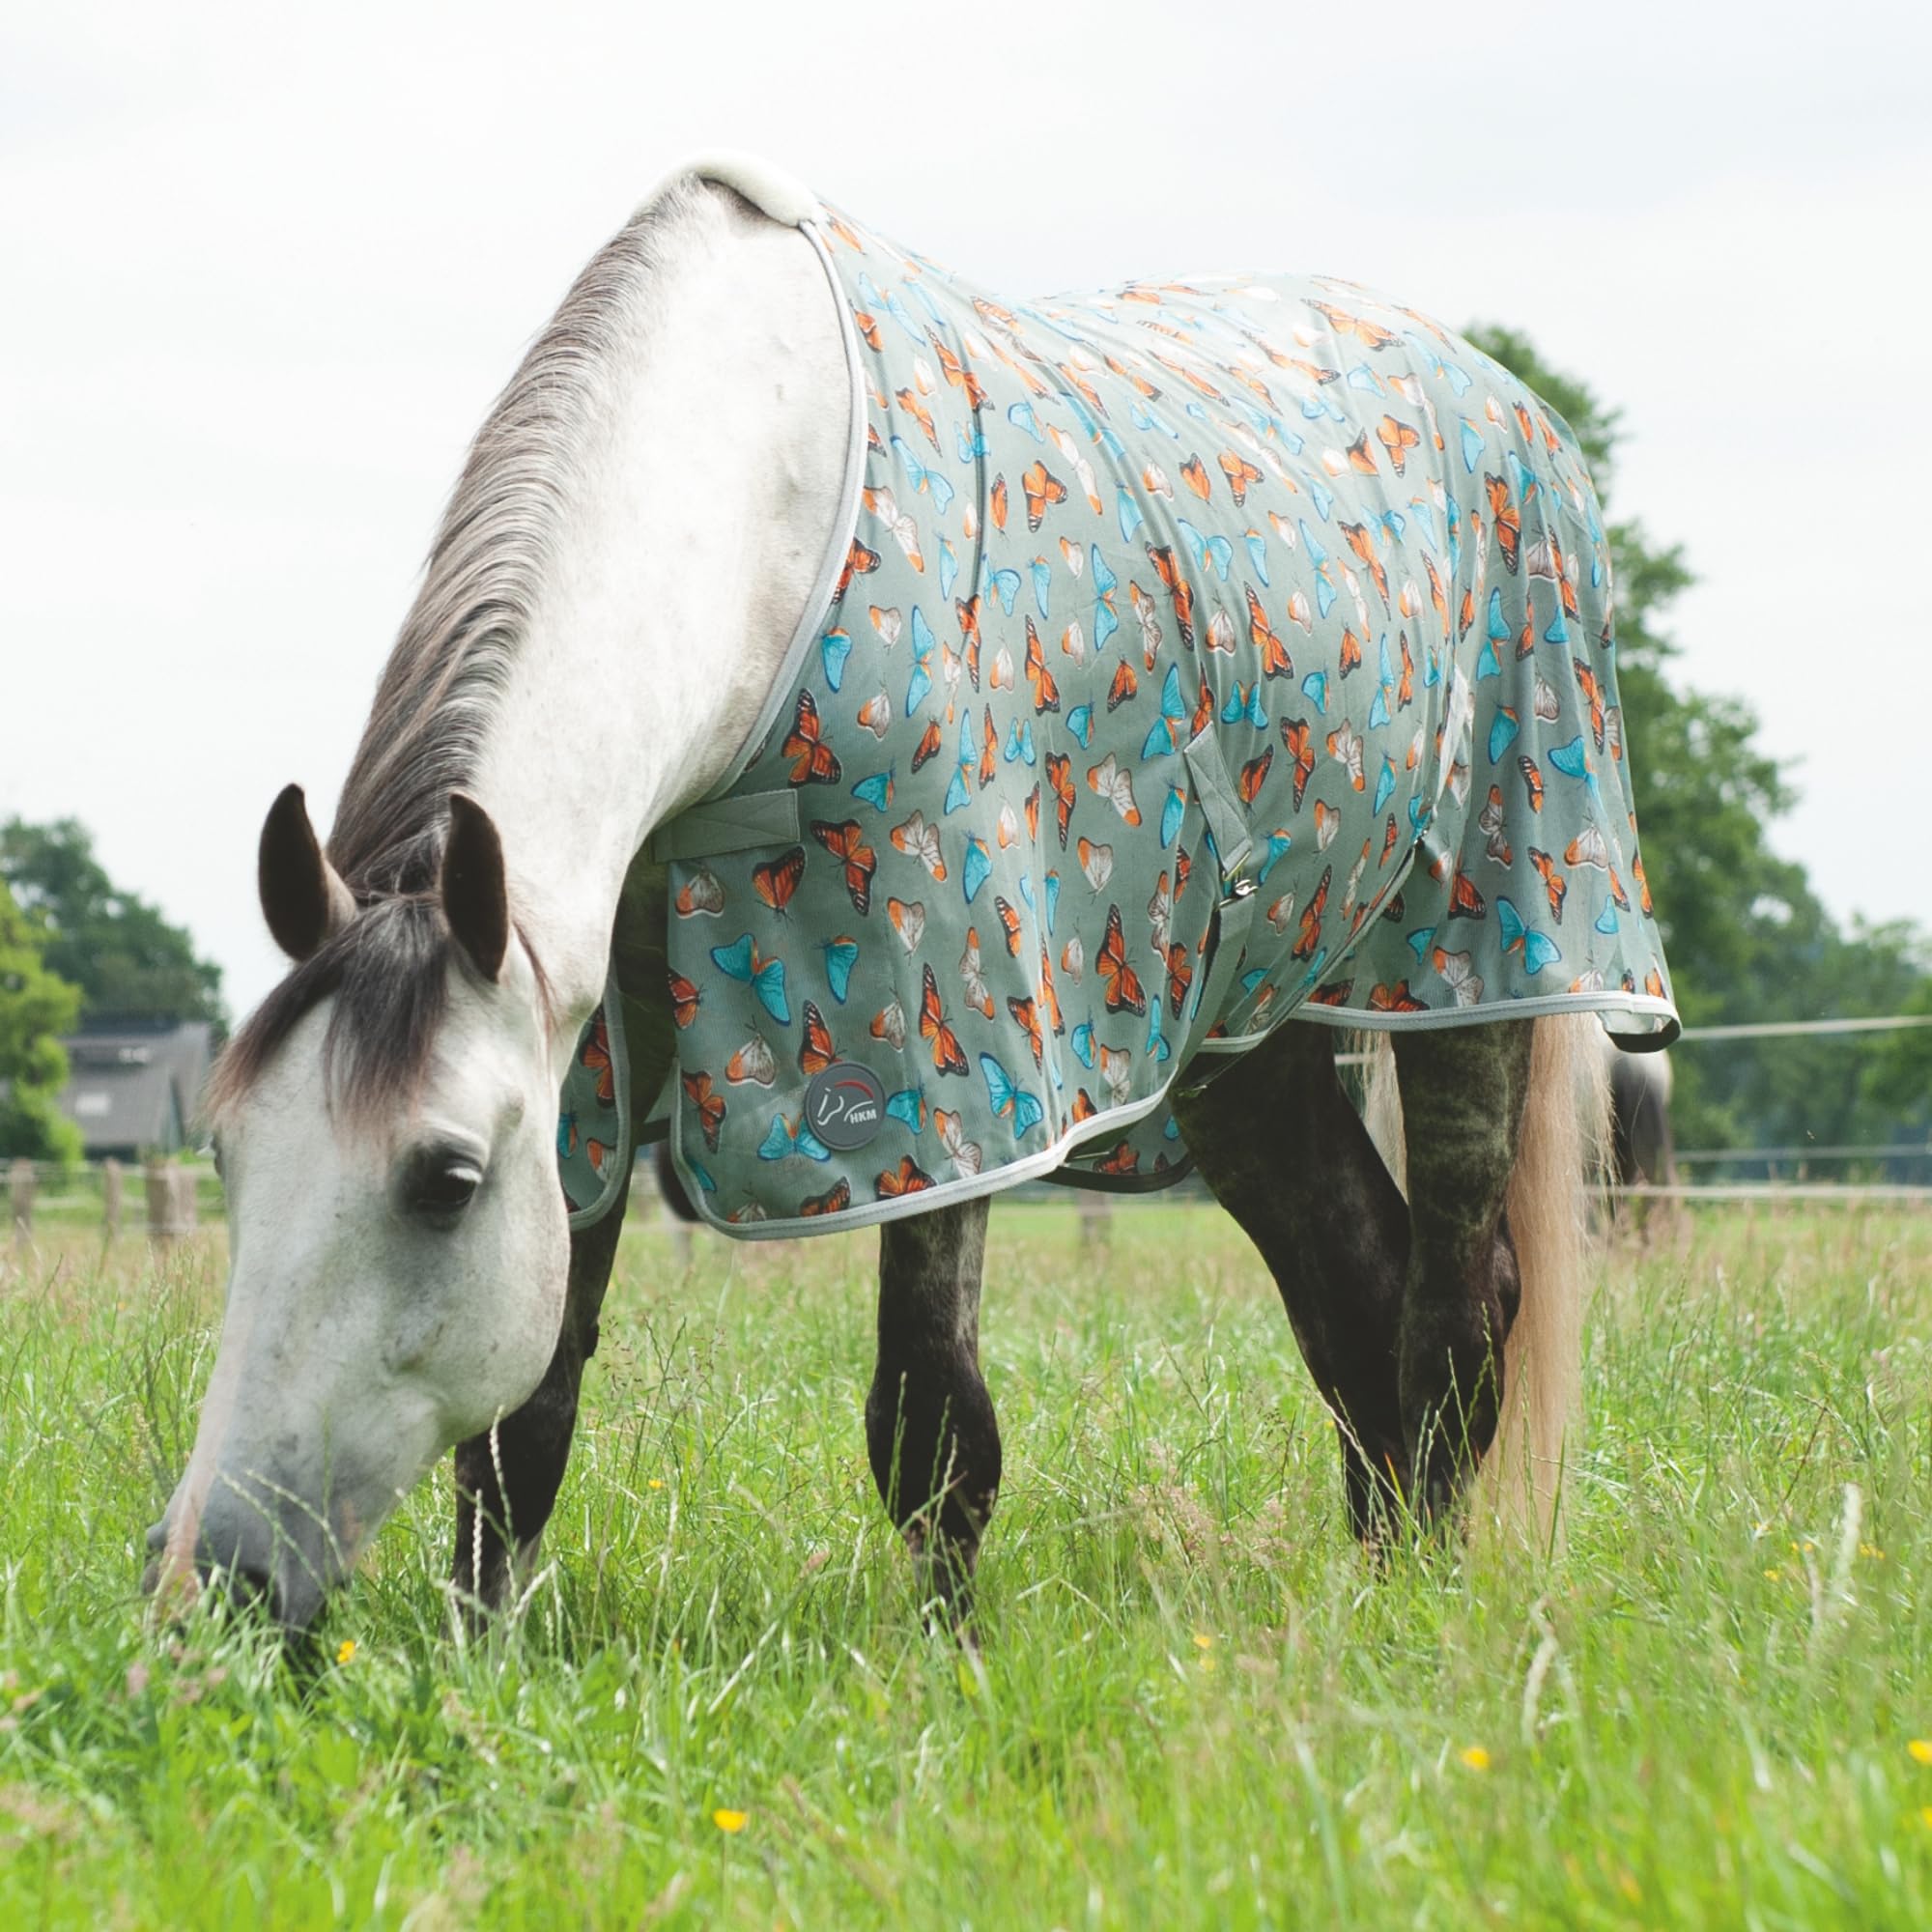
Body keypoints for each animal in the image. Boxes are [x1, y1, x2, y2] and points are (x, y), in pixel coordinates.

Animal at [149, 155, 1676, 1632]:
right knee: (1356, 1290)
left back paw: (1430, 1618)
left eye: (444, 1181)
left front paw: (946, 1670)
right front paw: (482, 1669)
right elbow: (527, 1422)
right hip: (1243, 1038)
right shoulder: (580, 1068)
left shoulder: (936, 1063)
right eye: (229, 1153)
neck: (763, 530)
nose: (216, 1579)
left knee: (1458, 1309)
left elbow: (933, 1423)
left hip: (1481, 963)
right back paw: (1371, 1601)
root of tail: (1507, 400)